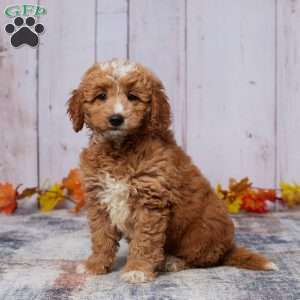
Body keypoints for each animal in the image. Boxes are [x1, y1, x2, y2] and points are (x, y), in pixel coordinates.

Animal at [68, 59, 278, 284]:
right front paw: (94, 265)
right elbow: (101, 237)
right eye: (101, 96)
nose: (116, 118)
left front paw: (137, 269)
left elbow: (145, 241)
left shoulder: (150, 202)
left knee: (203, 258)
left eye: (132, 97)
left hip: (201, 233)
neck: (119, 148)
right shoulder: (99, 199)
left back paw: (172, 261)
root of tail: (228, 248)